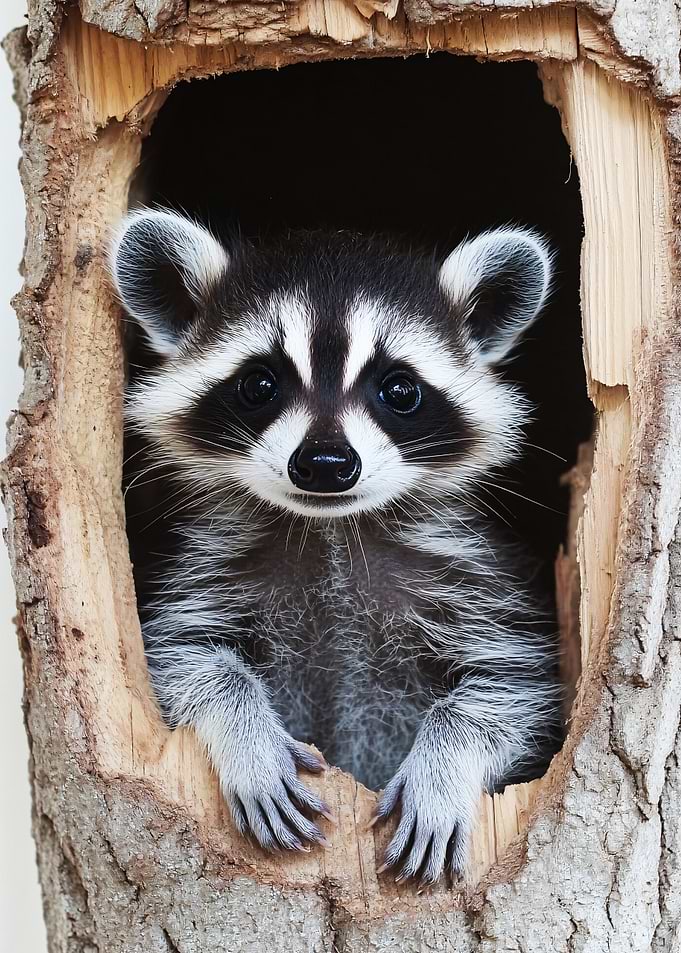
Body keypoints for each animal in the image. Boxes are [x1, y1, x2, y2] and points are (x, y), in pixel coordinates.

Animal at [112, 210, 563, 884]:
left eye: (399, 390)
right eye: (259, 384)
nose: (325, 464)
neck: (331, 531)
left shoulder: (470, 575)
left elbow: (509, 690)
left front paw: (445, 764)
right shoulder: (210, 564)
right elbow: (182, 659)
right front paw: (245, 732)